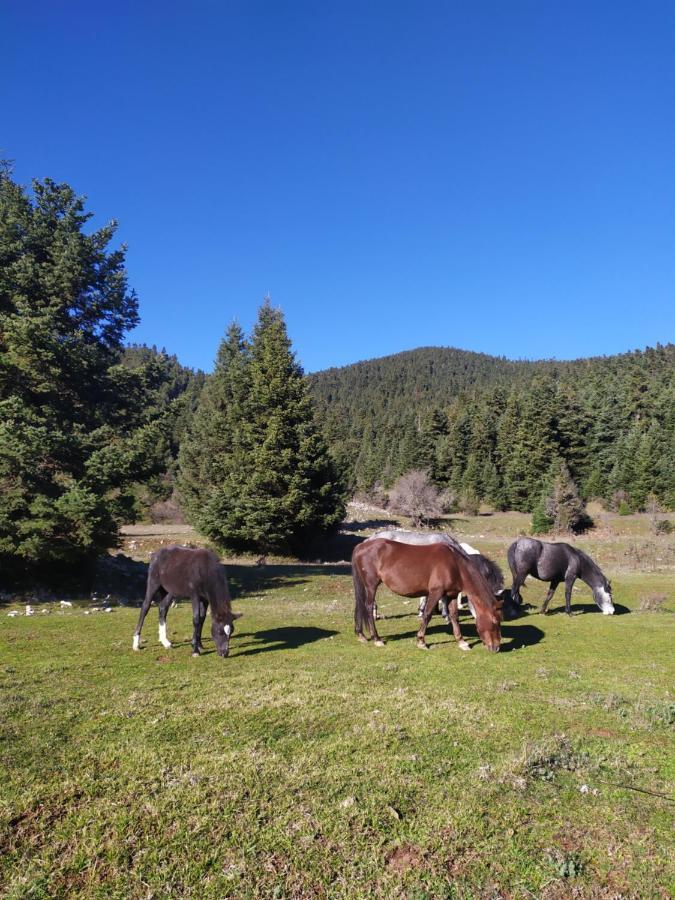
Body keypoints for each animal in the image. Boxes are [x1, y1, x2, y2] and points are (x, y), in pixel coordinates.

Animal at [354, 536, 502, 652]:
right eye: (495, 621)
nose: (496, 647)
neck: (455, 565)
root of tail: (361, 546)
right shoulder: (436, 592)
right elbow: (427, 614)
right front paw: (421, 641)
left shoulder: (452, 594)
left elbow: (454, 616)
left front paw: (461, 641)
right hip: (371, 585)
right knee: (368, 607)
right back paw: (376, 638)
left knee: (359, 606)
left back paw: (361, 634)